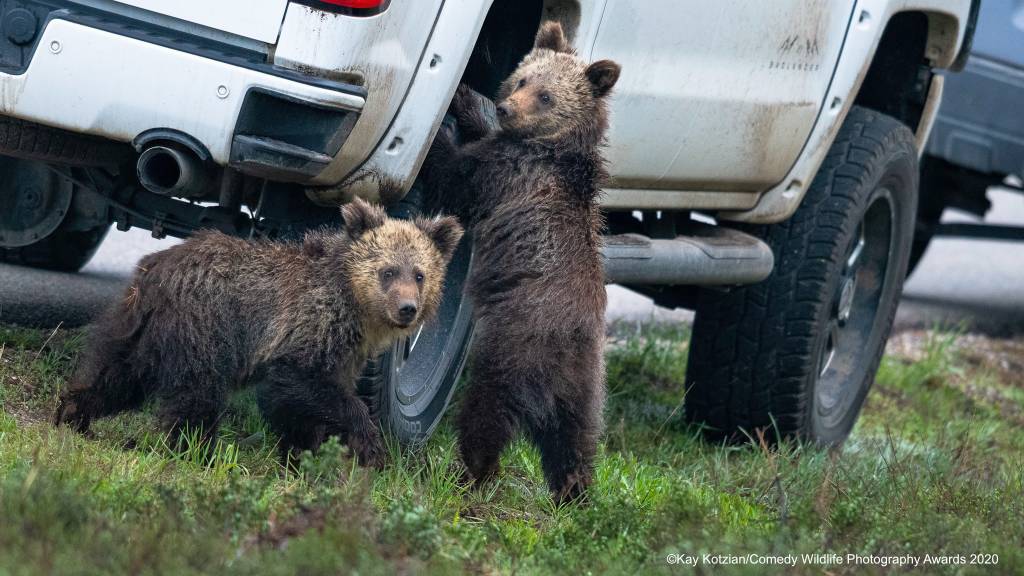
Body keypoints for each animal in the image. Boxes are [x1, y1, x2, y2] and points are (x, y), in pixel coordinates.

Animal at [54, 198, 463, 468]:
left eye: (420, 274)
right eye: (388, 271)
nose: (407, 308)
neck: (353, 305)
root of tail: (154, 270)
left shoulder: (347, 352)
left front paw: (302, 456)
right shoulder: (306, 328)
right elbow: (301, 385)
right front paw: (368, 445)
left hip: (141, 328)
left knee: (116, 373)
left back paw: (74, 414)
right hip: (204, 325)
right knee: (197, 395)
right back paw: (198, 452)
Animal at [422, 21, 620, 502]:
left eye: (547, 95)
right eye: (523, 78)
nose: (507, 107)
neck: (555, 148)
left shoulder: (509, 172)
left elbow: (456, 178)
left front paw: (439, 137)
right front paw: (466, 98)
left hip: (513, 354)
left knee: (485, 418)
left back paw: (467, 474)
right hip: (586, 390)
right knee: (575, 443)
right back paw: (575, 494)